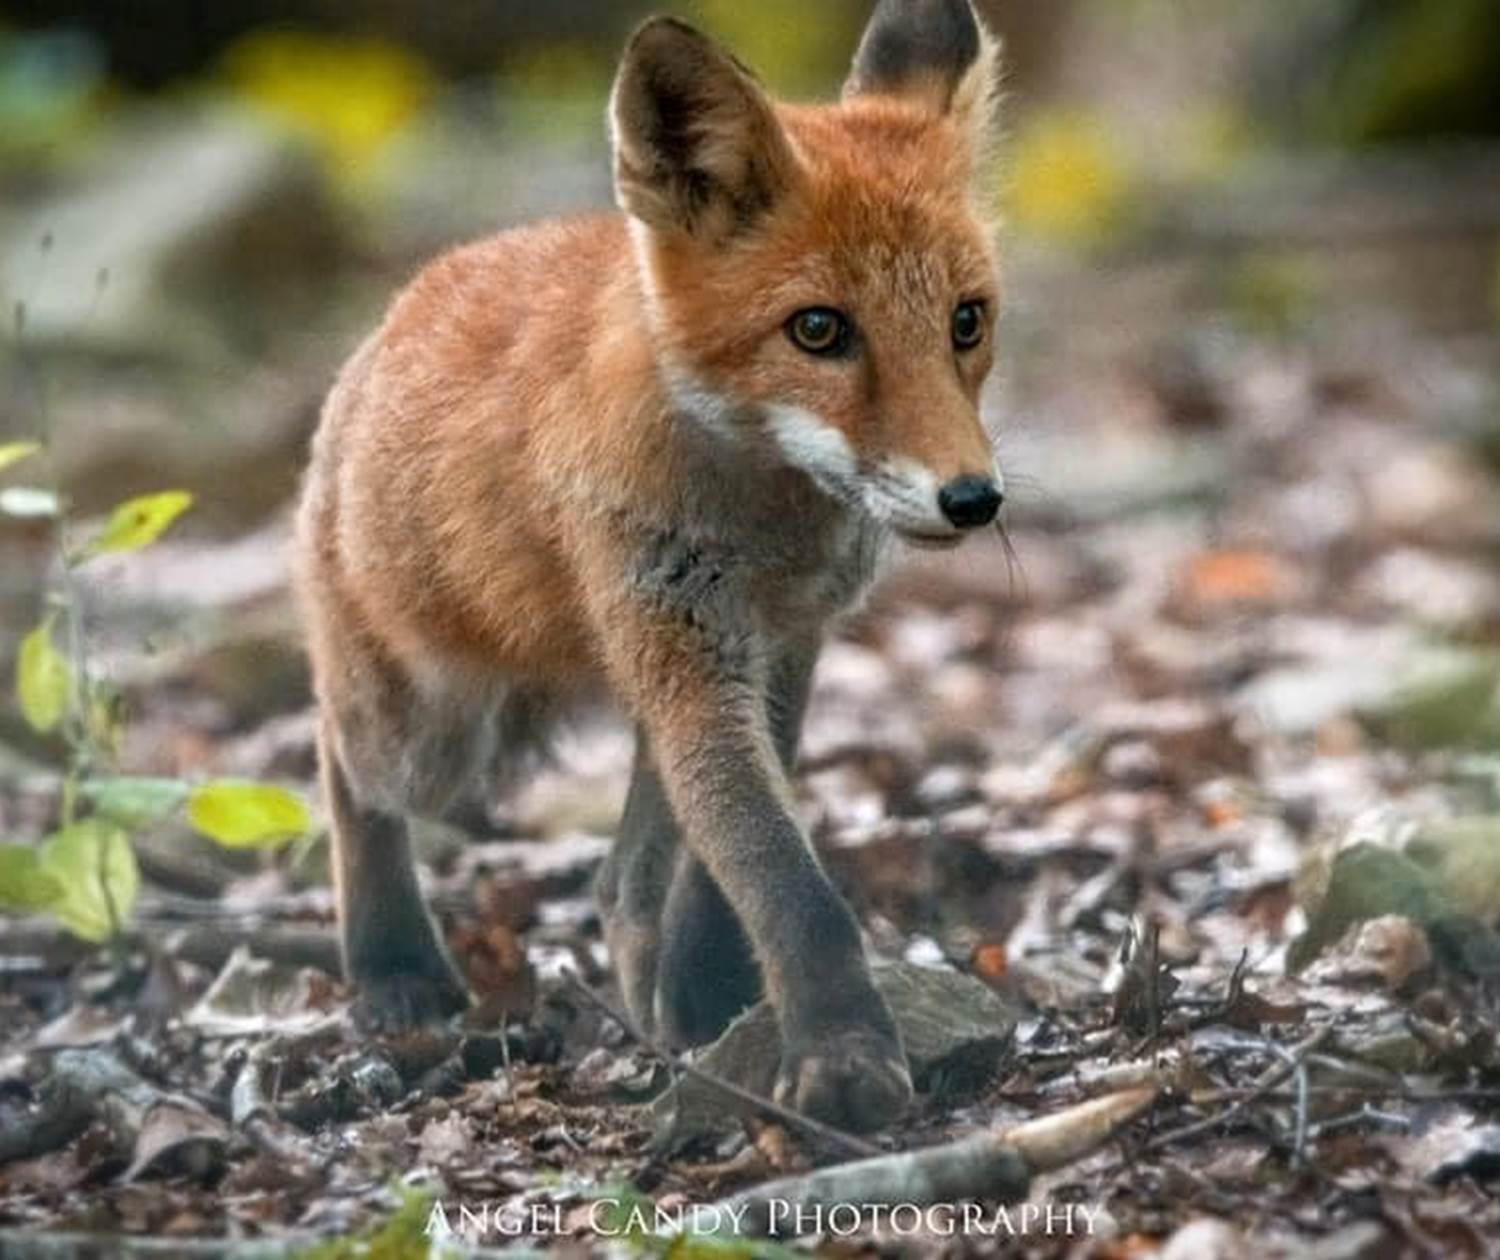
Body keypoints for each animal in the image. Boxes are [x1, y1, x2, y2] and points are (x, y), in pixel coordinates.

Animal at [295, 0, 1005, 1134]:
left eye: (966, 322)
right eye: (819, 330)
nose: (973, 499)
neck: (764, 515)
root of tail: (385, 326)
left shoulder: (778, 646)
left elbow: (728, 870)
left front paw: (717, 997)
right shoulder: (687, 648)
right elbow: (786, 880)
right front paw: (841, 1055)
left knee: (622, 881)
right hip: (434, 732)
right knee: (338, 750)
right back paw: (393, 964)